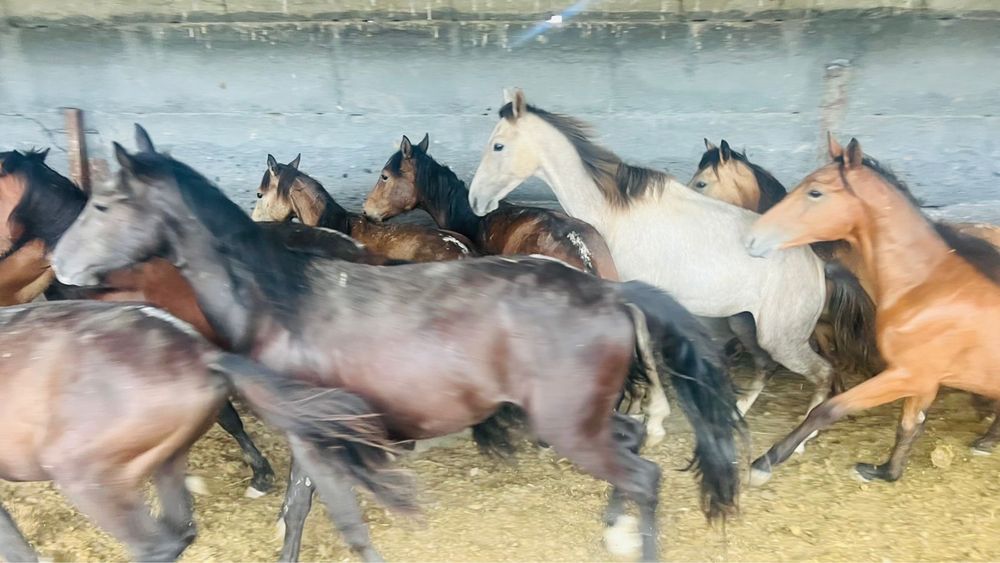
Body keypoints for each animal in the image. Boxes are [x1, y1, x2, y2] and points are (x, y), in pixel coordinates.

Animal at [467, 89, 876, 431]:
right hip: (746, 324)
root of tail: (818, 265)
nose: (476, 201)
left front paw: (650, 417)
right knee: (768, 367)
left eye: (498, 145)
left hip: (783, 339)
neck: (613, 216)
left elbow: (645, 353)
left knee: (823, 375)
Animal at [745, 135, 1000, 485]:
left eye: (815, 192)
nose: (751, 238)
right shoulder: (922, 381)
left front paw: (765, 462)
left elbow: (829, 409)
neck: (925, 285)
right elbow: (909, 426)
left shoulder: (904, 375)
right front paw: (884, 472)